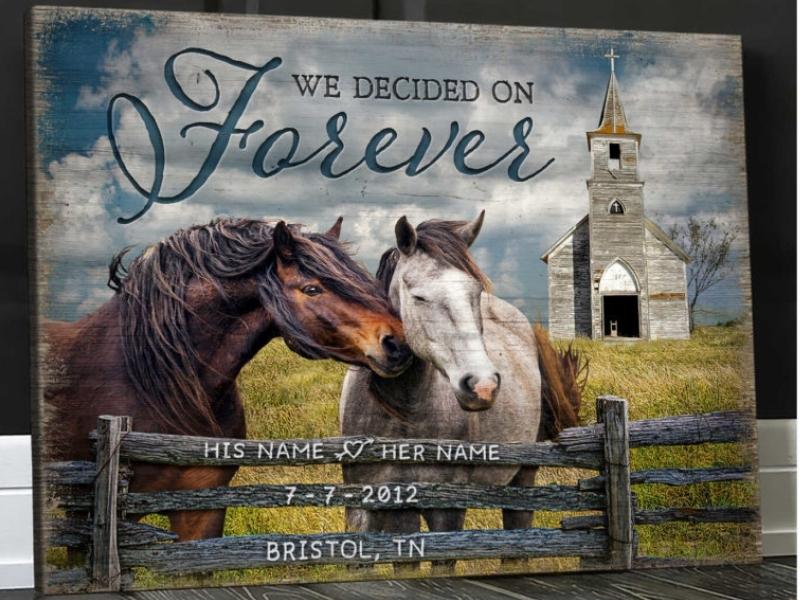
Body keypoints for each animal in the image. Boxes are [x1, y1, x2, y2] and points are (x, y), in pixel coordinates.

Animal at [340, 211, 584, 572]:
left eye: (475, 293)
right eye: (419, 297)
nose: (482, 385)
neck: (402, 413)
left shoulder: (447, 507)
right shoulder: (368, 504)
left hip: (522, 477)